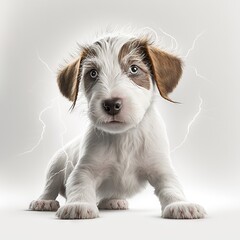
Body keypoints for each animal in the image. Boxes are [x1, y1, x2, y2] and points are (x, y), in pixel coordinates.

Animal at [29, 31, 206, 218]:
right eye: (93, 73)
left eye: (134, 69)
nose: (112, 104)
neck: (125, 137)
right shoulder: (84, 169)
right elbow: (80, 186)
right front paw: (78, 204)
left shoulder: (161, 168)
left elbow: (172, 187)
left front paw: (181, 204)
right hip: (56, 165)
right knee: (50, 187)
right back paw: (43, 201)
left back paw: (112, 200)